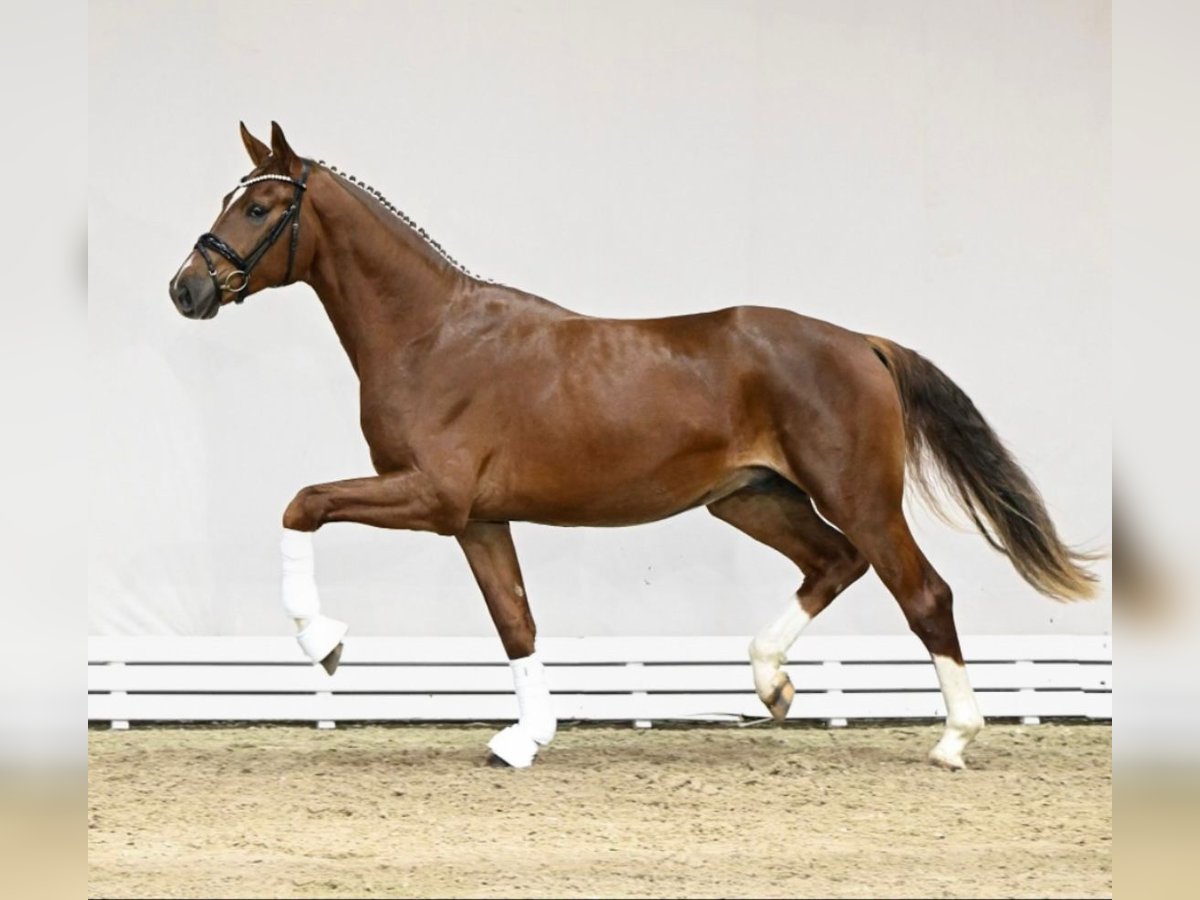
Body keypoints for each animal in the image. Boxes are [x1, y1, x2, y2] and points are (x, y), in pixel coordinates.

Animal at [166, 123, 1099, 772]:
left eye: (258, 206)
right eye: (228, 197)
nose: (187, 289)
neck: (432, 335)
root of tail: (862, 344)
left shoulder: (431, 495)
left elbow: (303, 503)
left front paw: (320, 640)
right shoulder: (477, 518)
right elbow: (514, 620)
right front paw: (525, 738)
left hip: (857, 495)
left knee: (923, 593)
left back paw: (954, 739)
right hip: (751, 497)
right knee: (834, 564)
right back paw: (771, 683)